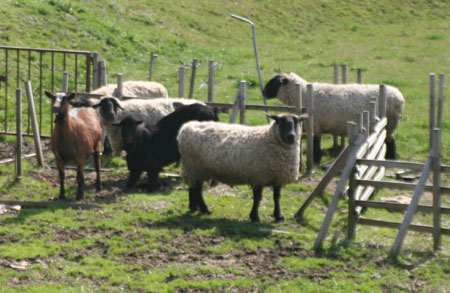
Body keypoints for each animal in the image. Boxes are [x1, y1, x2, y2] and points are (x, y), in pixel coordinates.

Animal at [178, 112, 308, 221]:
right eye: (280, 121)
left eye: (297, 121)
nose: (291, 136)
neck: (268, 137)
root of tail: (187, 126)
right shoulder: (258, 177)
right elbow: (258, 198)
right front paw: (254, 217)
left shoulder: (278, 178)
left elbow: (277, 197)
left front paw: (278, 216)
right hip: (193, 166)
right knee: (196, 189)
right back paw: (204, 208)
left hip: (198, 169)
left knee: (194, 187)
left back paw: (195, 207)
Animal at [262, 72, 406, 163]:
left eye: (275, 82)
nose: (263, 92)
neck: (302, 94)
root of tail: (399, 97)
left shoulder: (315, 125)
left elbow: (315, 144)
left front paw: (316, 159)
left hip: (390, 123)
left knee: (390, 140)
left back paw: (391, 157)